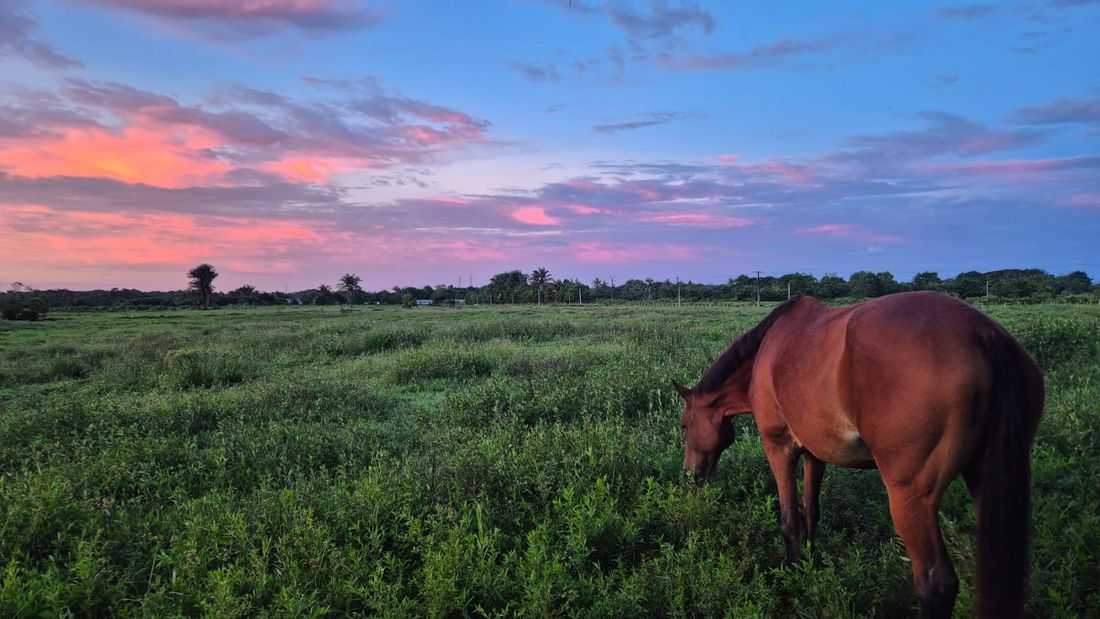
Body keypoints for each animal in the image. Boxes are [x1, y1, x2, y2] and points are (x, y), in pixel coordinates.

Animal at [674, 292, 1043, 618]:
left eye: (683, 425)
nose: (691, 475)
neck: (763, 359)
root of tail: (983, 334)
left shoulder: (778, 448)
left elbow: (789, 520)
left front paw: (794, 576)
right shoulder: (815, 453)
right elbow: (811, 512)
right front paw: (811, 566)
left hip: (910, 498)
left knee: (935, 584)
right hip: (985, 481)